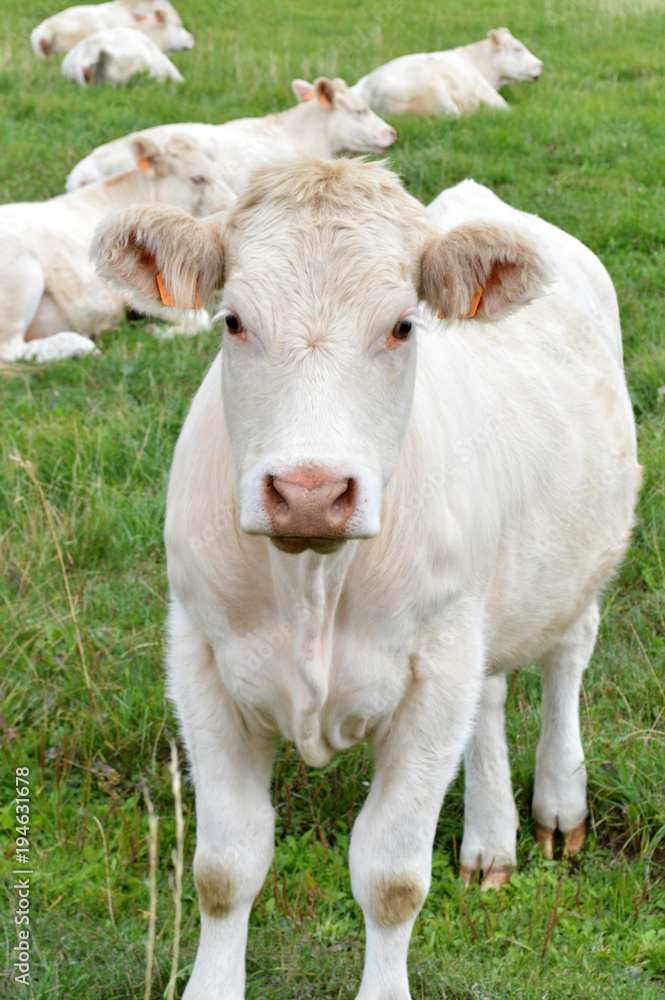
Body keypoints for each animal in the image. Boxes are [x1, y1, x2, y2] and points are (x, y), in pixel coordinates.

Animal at [0, 135, 235, 366]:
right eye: (198, 178)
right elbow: (202, 318)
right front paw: (158, 332)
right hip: (23, 277)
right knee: (12, 349)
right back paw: (80, 345)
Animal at [92, 160, 640, 996]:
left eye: (403, 325)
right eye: (233, 321)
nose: (309, 491)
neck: (313, 580)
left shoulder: (430, 683)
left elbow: (390, 879)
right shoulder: (201, 663)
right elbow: (224, 868)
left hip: (575, 559)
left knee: (566, 656)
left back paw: (557, 805)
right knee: (490, 696)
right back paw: (490, 842)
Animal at [352, 26, 544, 117]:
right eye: (517, 49)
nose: (541, 65)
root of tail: (369, 88)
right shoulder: (485, 90)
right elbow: (505, 109)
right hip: (439, 94)